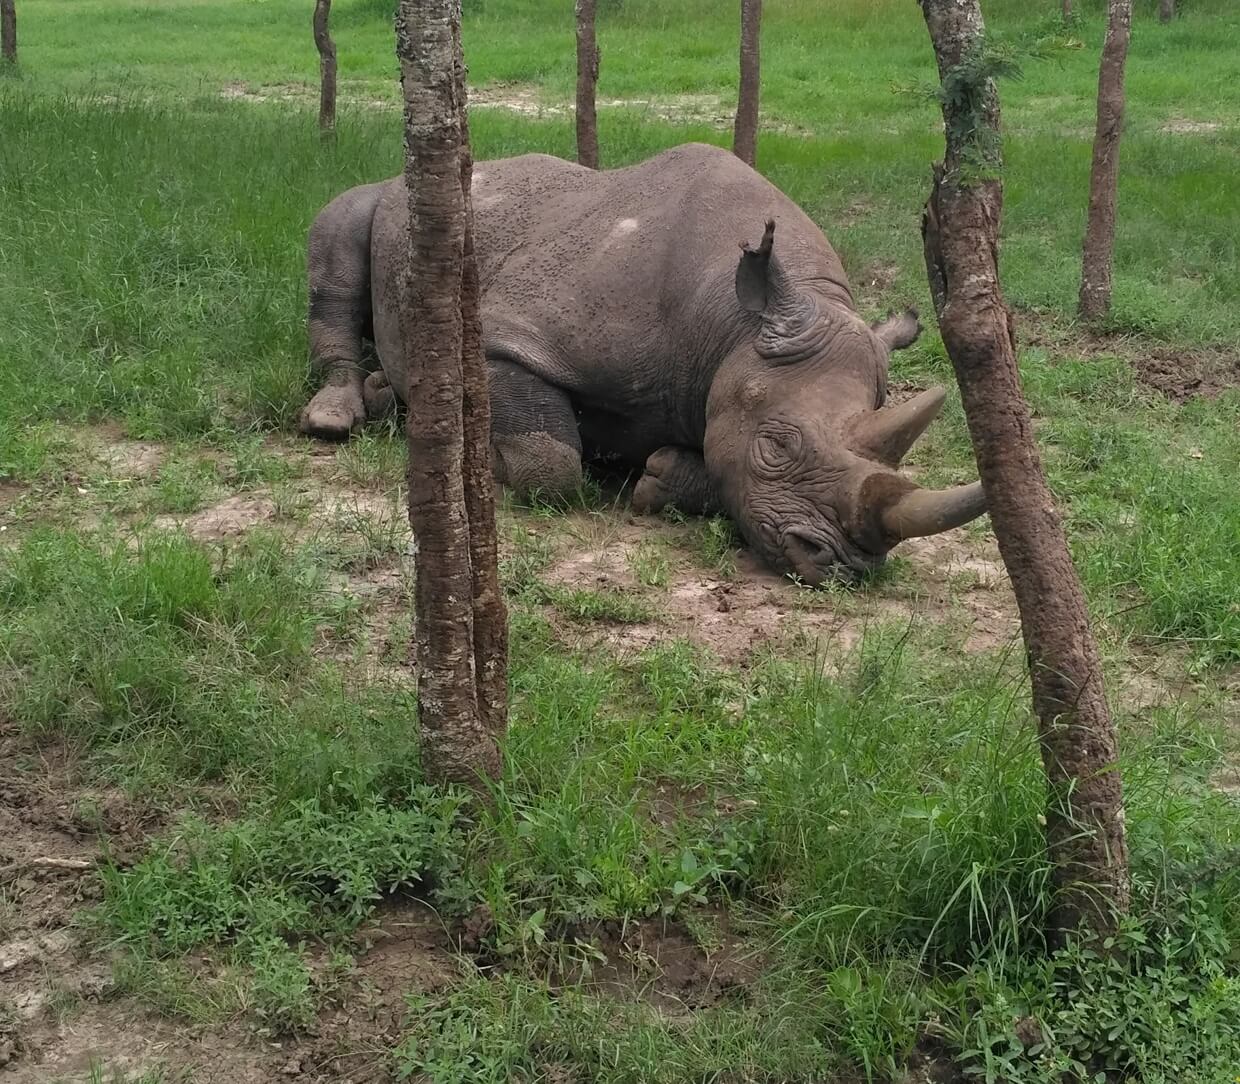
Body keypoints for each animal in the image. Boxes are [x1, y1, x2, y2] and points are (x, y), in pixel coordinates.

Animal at [301, 142, 985, 584]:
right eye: (777, 446)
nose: (844, 566)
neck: (733, 325)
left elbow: (713, 461)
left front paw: (661, 478)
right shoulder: (507, 334)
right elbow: (549, 463)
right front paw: (484, 455)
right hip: (390, 198)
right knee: (340, 235)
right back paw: (338, 415)